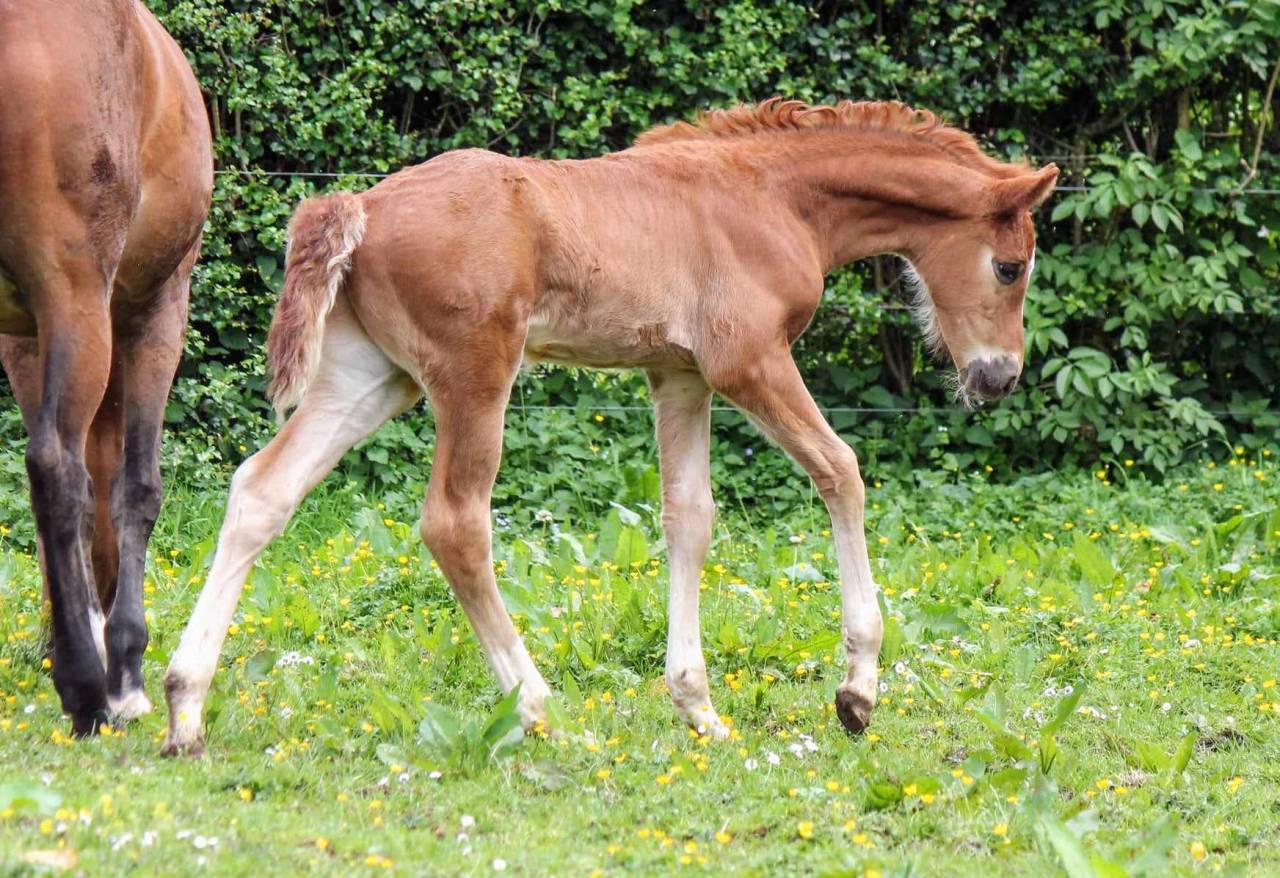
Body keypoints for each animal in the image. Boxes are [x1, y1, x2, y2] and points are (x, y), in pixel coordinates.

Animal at [0, 0, 212, 735]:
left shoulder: (24, 337)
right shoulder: (156, 310)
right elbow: (132, 486)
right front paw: (122, 668)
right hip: (80, 297)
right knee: (57, 468)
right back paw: (88, 690)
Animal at [163, 99, 1056, 755]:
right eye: (1010, 266)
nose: (999, 376)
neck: (771, 197)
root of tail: (363, 204)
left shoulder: (679, 375)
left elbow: (689, 517)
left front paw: (699, 708)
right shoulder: (748, 362)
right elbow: (841, 470)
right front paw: (857, 689)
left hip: (369, 377)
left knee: (261, 491)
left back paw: (184, 710)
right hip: (473, 374)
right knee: (455, 522)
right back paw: (538, 708)